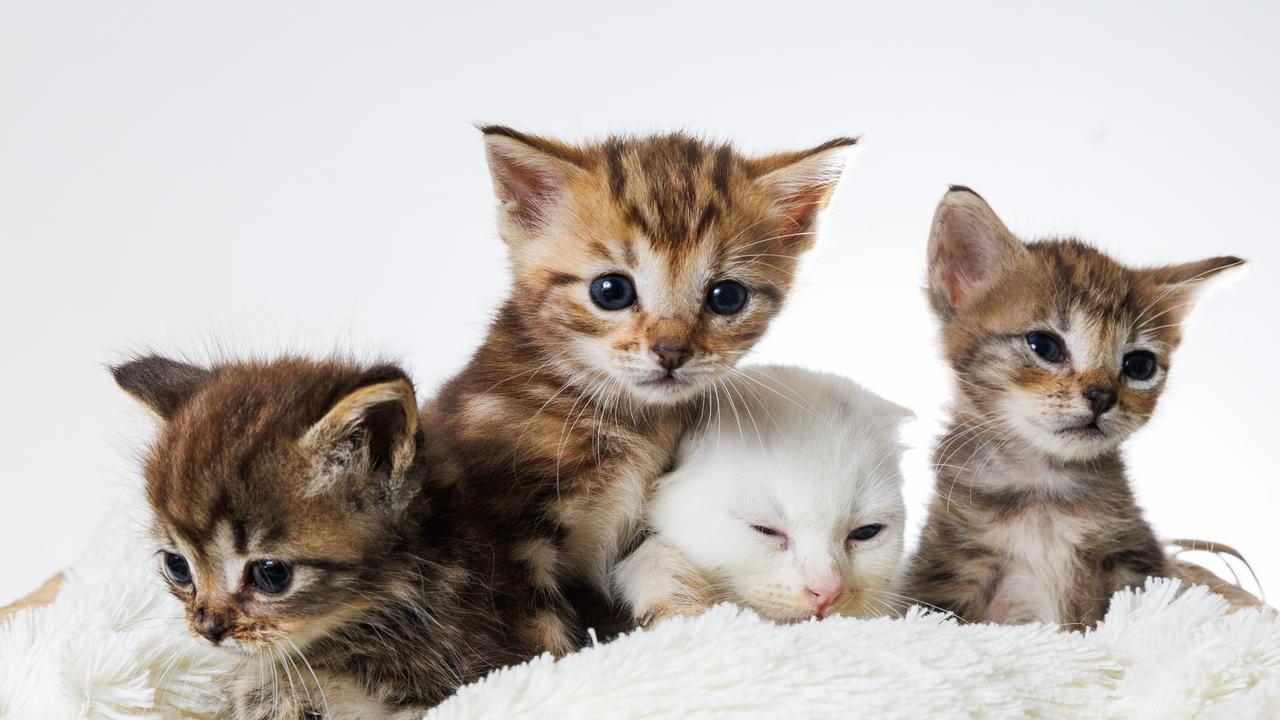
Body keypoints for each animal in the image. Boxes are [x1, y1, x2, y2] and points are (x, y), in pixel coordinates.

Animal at [424, 124, 855, 650]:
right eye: (611, 290)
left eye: (727, 296)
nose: (671, 352)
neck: (619, 419)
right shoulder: (506, 535)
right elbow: (538, 633)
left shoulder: (645, 518)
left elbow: (663, 564)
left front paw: (692, 622)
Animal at [911, 188, 1249, 625]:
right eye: (1044, 345)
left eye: (1139, 365)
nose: (1102, 395)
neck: (1045, 494)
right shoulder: (948, 575)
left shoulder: (1137, 565)